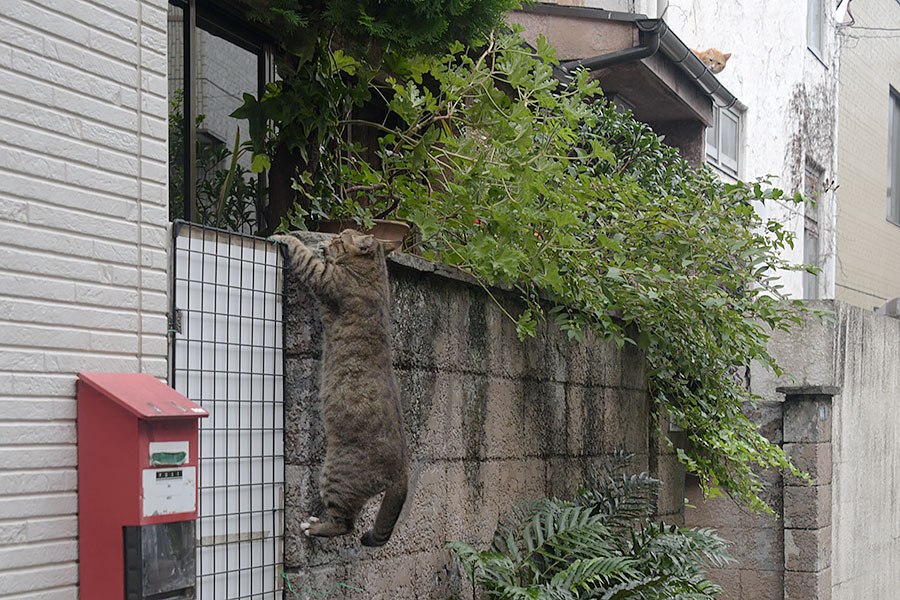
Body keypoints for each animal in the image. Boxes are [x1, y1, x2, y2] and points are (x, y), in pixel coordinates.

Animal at [268, 230, 406, 548]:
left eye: (340, 237)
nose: (329, 240)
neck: (374, 274)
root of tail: (402, 472)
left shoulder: (324, 278)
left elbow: (304, 255)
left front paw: (286, 236)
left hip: (336, 477)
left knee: (346, 525)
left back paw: (314, 526)